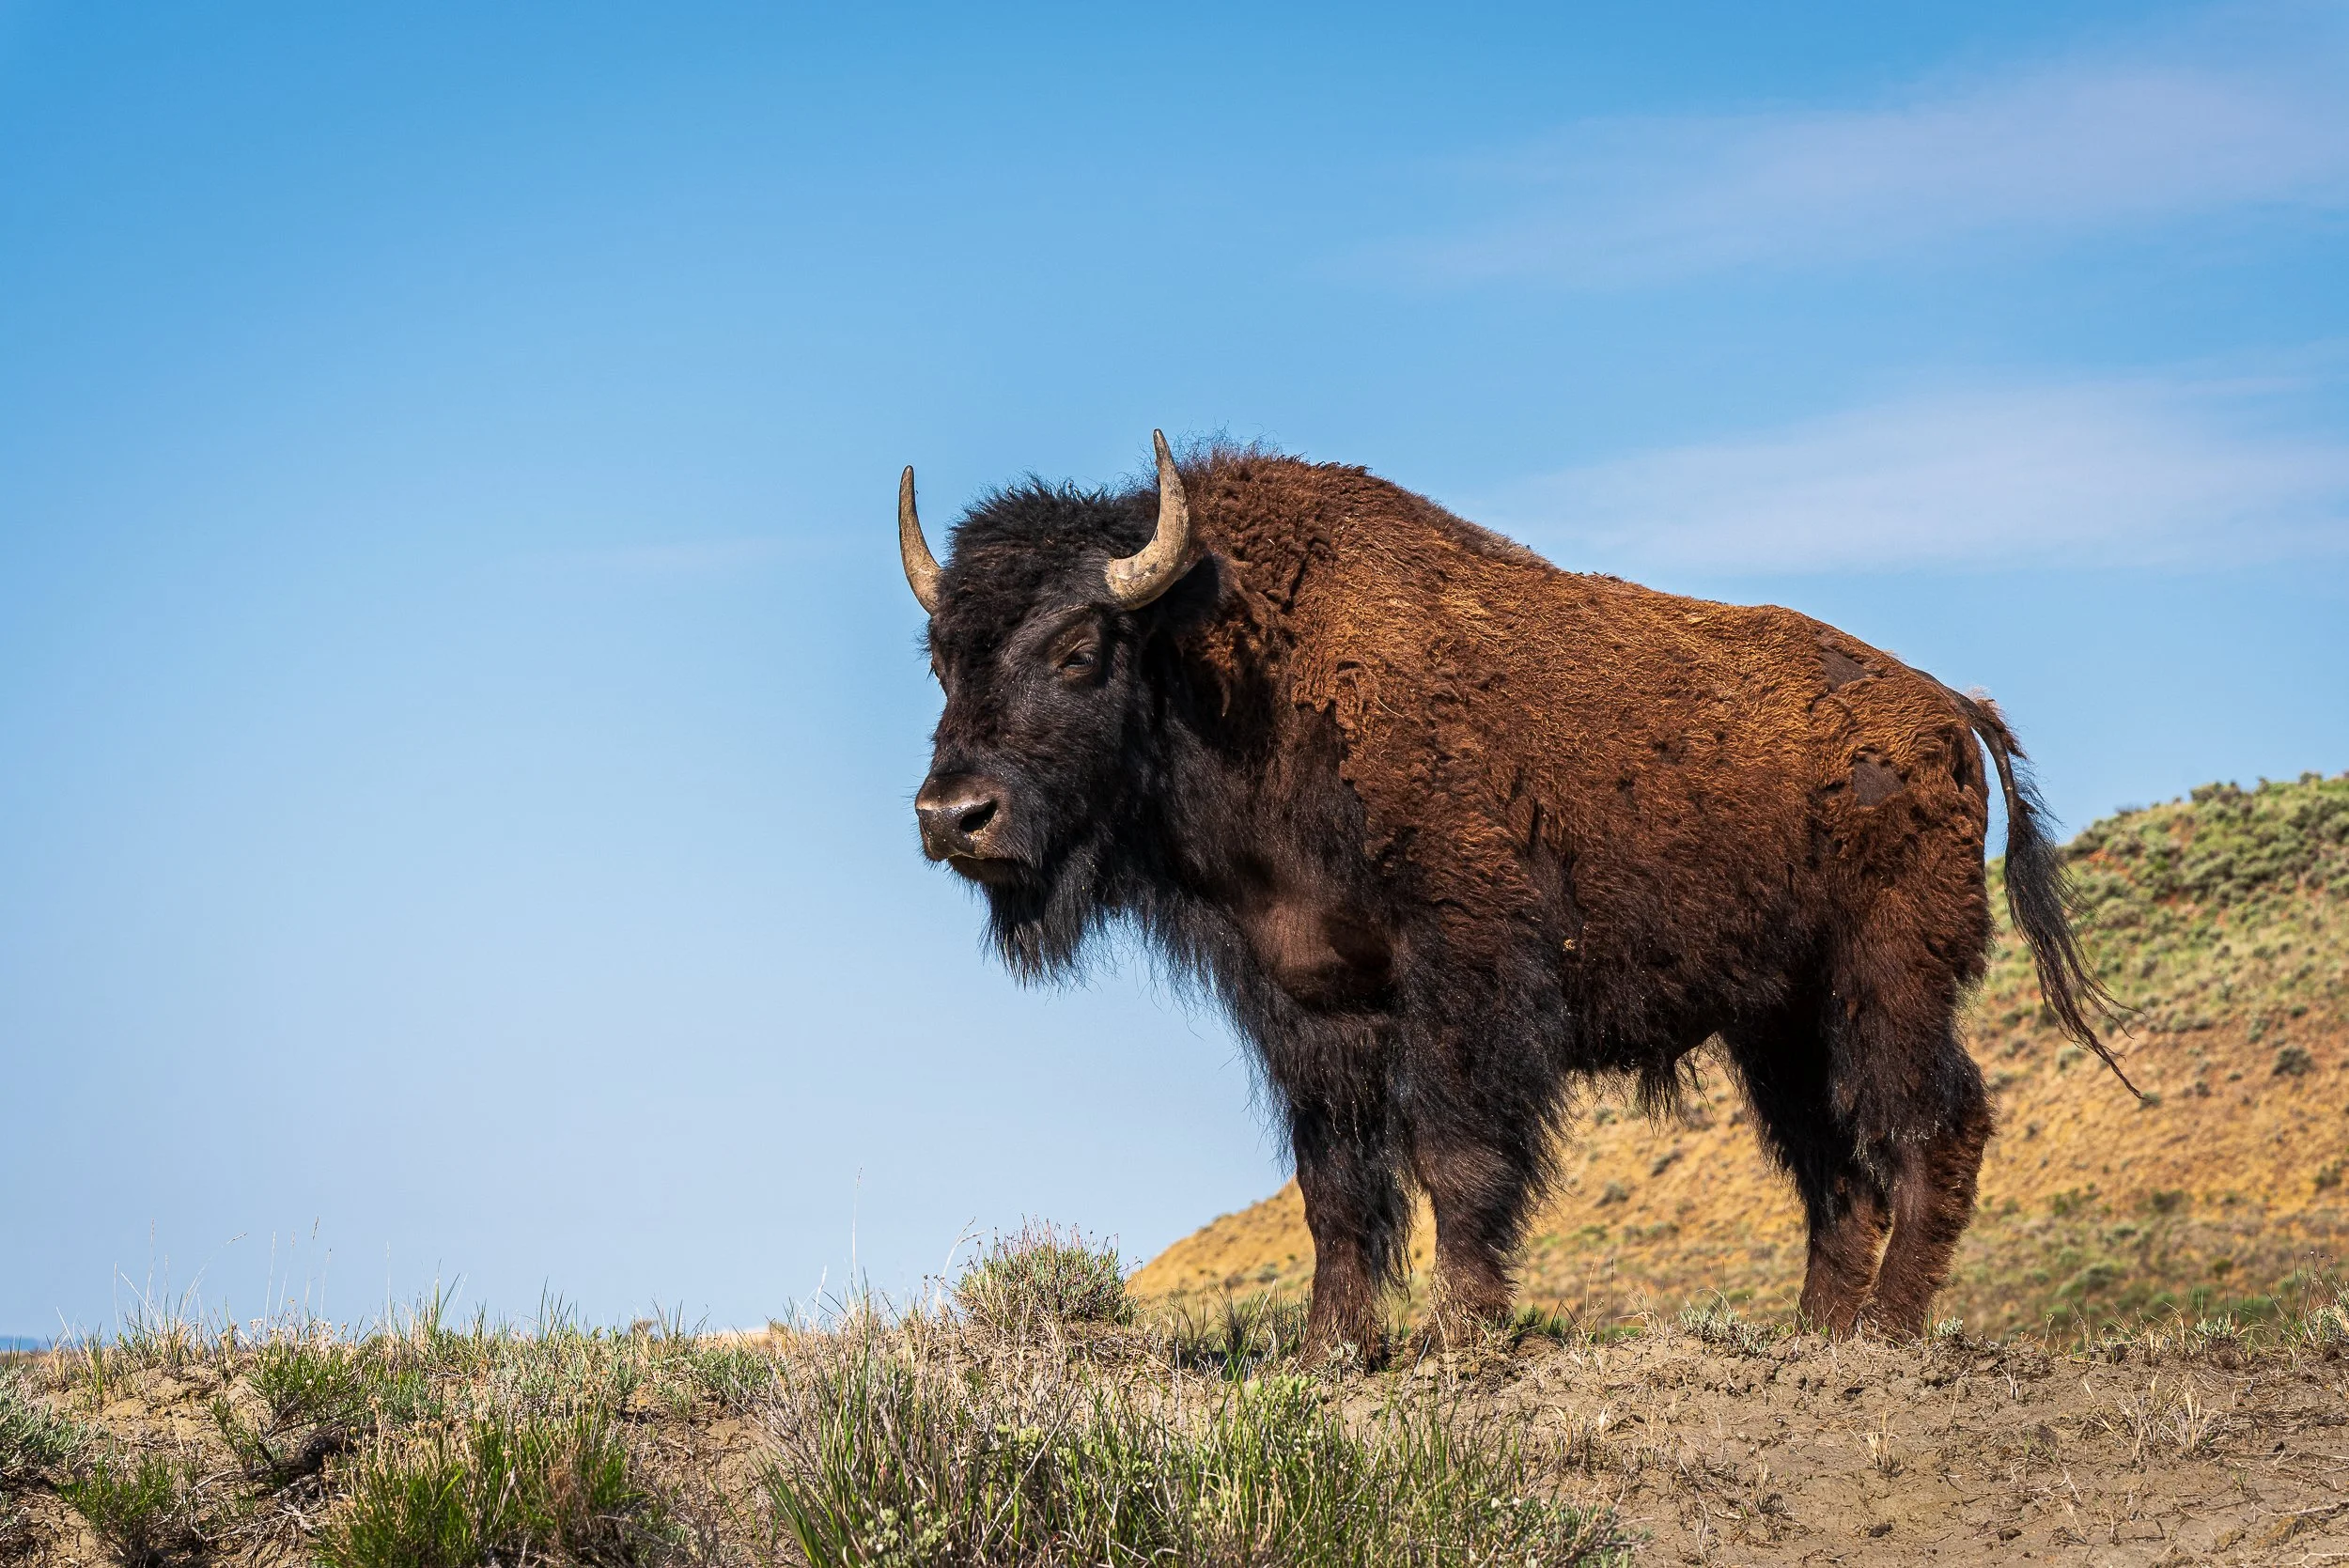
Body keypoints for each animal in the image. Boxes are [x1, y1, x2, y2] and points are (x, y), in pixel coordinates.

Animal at [899, 434, 2125, 1355]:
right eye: (940, 657)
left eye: (1078, 649)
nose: (953, 815)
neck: (1232, 668)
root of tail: (1947, 708)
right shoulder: (1305, 999)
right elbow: (1334, 1184)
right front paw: (1331, 1348)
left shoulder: (1465, 971)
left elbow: (1456, 1150)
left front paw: (1460, 1331)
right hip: (1777, 1020)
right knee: (1834, 1170)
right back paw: (1814, 1334)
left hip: (1886, 978)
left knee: (1930, 1125)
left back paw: (1883, 1333)